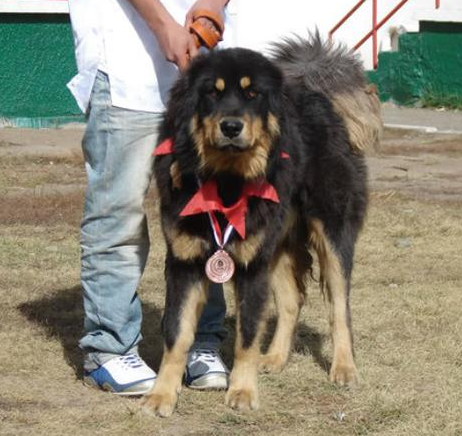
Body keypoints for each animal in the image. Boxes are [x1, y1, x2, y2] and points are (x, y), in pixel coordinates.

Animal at [144, 34, 382, 416]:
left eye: (253, 94)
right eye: (211, 92)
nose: (231, 126)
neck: (226, 179)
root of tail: (318, 94)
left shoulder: (251, 266)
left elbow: (247, 334)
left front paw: (242, 391)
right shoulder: (184, 262)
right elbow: (176, 333)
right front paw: (162, 394)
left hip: (332, 230)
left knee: (339, 307)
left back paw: (344, 367)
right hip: (277, 240)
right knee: (291, 301)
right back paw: (274, 358)